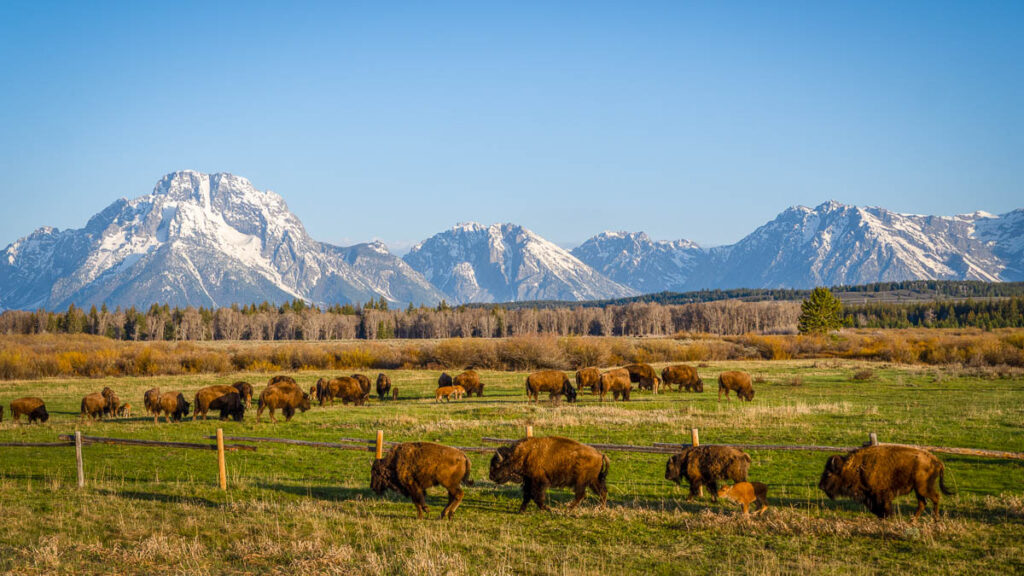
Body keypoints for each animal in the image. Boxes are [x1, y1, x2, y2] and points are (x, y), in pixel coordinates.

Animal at [815, 440, 950, 518]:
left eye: (828, 473)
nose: (820, 486)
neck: (856, 467)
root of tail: (937, 461)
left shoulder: (880, 495)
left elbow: (884, 507)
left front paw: (887, 516)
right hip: (918, 490)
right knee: (922, 504)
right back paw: (913, 521)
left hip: (923, 488)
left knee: (935, 498)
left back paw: (935, 519)